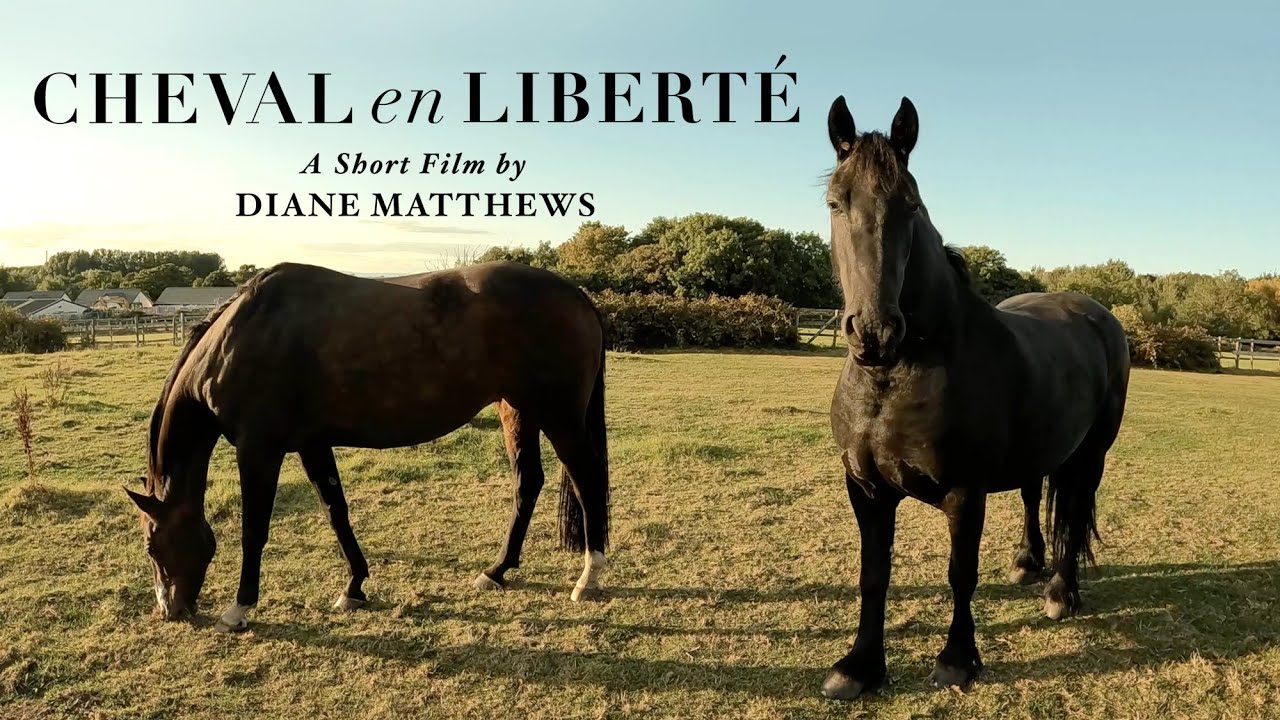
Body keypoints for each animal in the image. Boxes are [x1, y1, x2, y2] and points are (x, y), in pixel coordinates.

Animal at [124, 261, 611, 633]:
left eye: (151, 546)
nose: (171, 610)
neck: (242, 337)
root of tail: (577, 294)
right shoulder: (312, 444)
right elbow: (335, 511)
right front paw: (354, 587)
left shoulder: (259, 448)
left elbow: (254, 530)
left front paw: (238, 609)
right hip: (518, 410)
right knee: (528, 482)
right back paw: (497, 571)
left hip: (559, 417)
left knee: (587, 480)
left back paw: (589, 578)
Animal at [818, 96, 1130, 699]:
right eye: (835, 202)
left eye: (911, 205)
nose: (874, 332)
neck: (899, 373)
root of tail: (1095, 313)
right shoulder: (866, 489)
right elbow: (874, 574)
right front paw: (859, 666)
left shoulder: (965, 492)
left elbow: (960, 573)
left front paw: (957, 660)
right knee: (1035, 492)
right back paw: (1028, 561)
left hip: (1092, 453)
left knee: (1074, 507)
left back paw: (1061, 591)